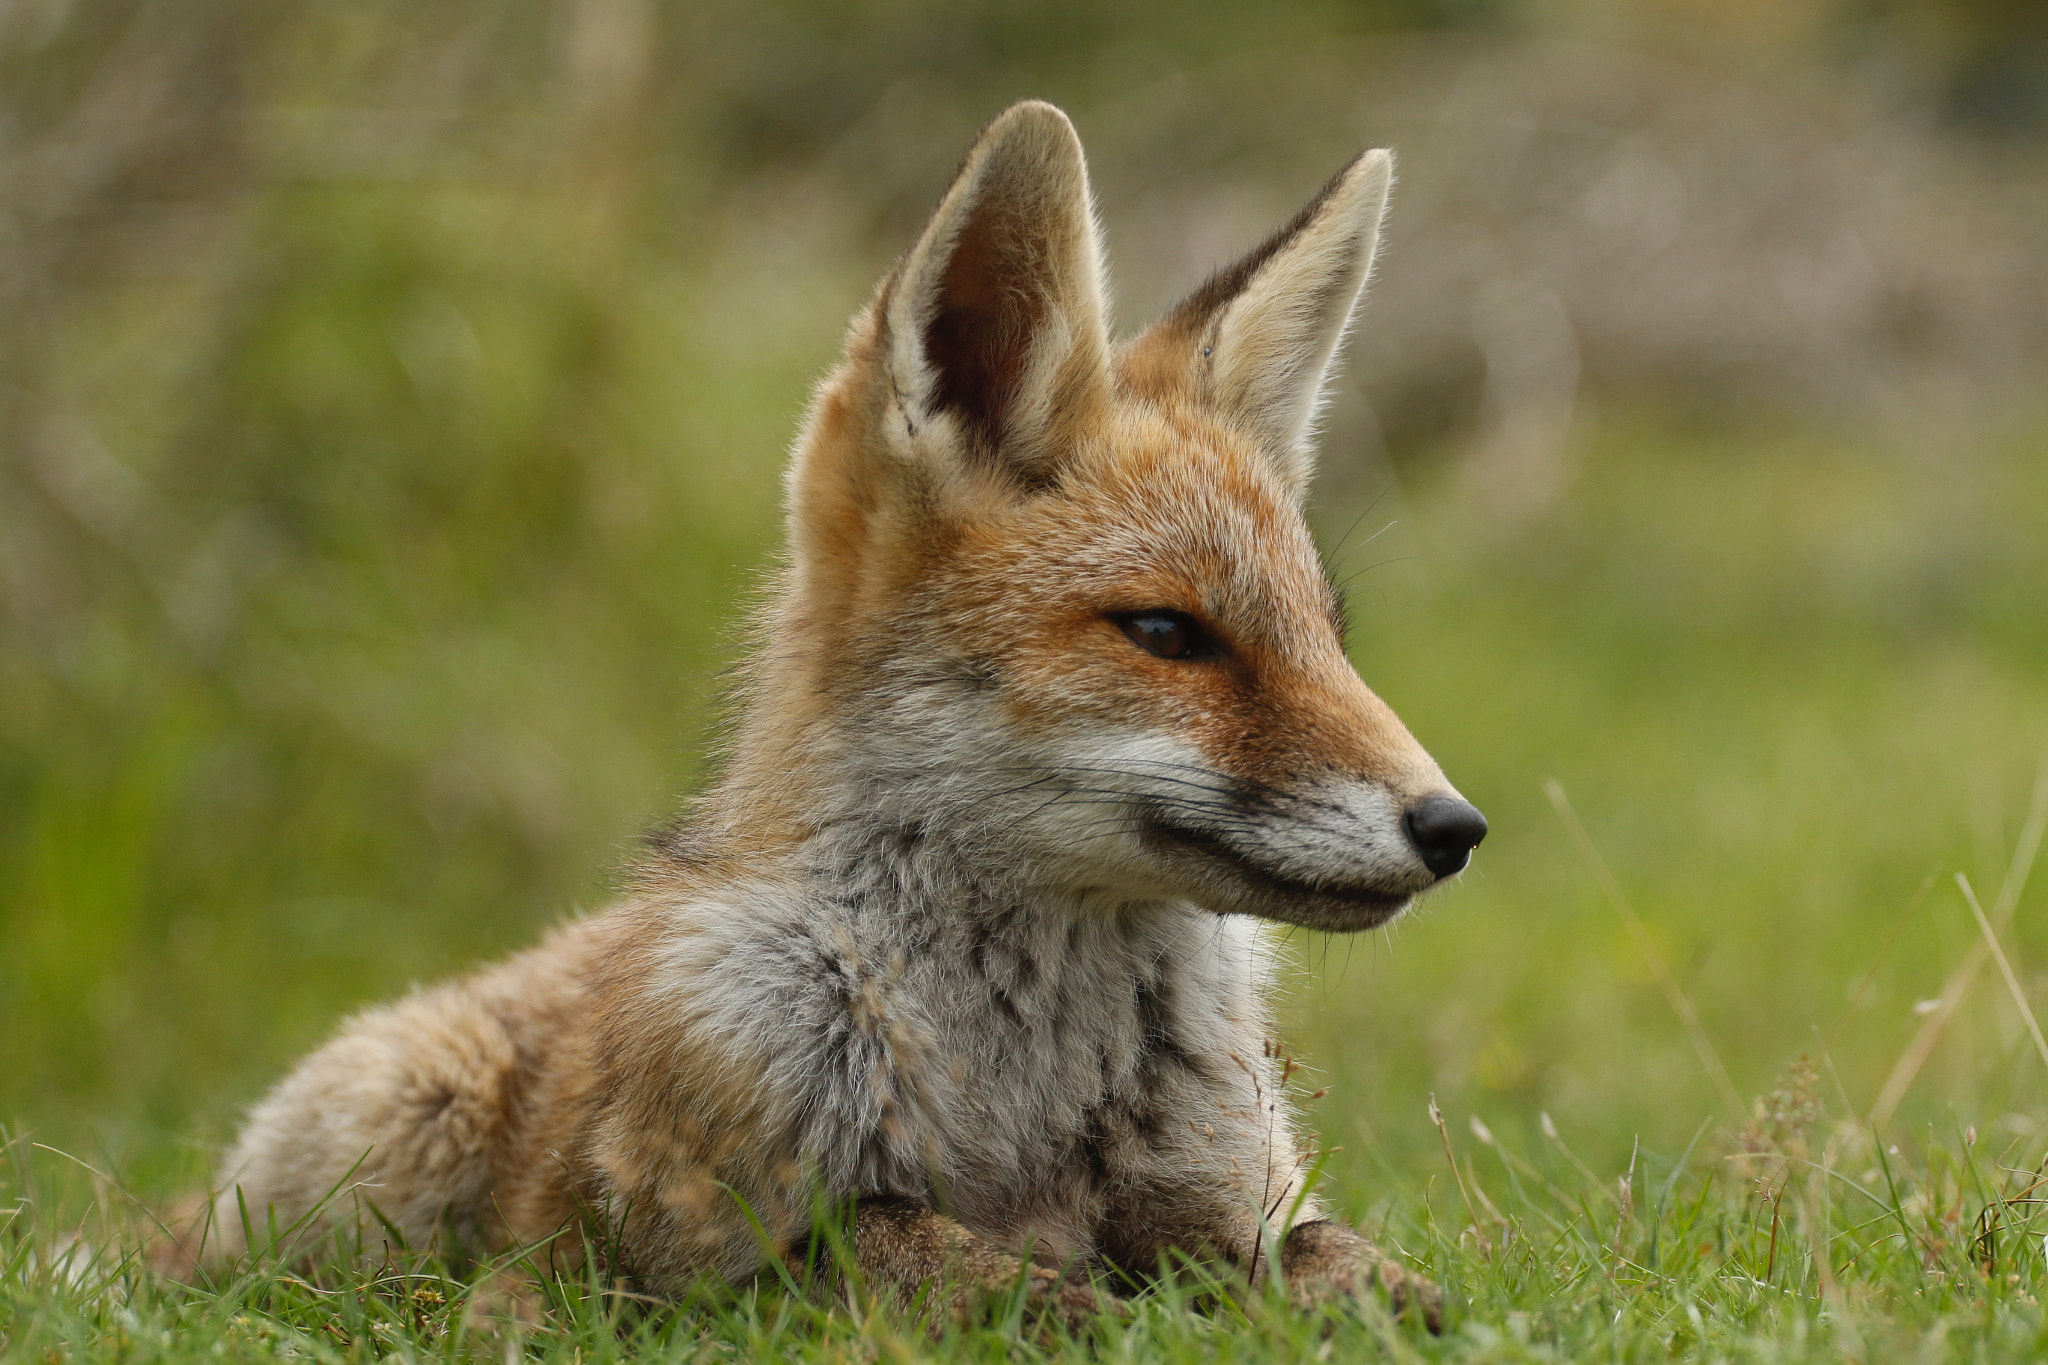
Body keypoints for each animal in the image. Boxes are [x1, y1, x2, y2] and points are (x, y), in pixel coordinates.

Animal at [190, 101, 1486, 1329]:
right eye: (1166, 634)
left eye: (1326, 633)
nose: (1454, 828)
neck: (1026, 1107)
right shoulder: (715, 1259)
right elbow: (955, 1264)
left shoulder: (1239, 1203)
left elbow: (1341, 1261)